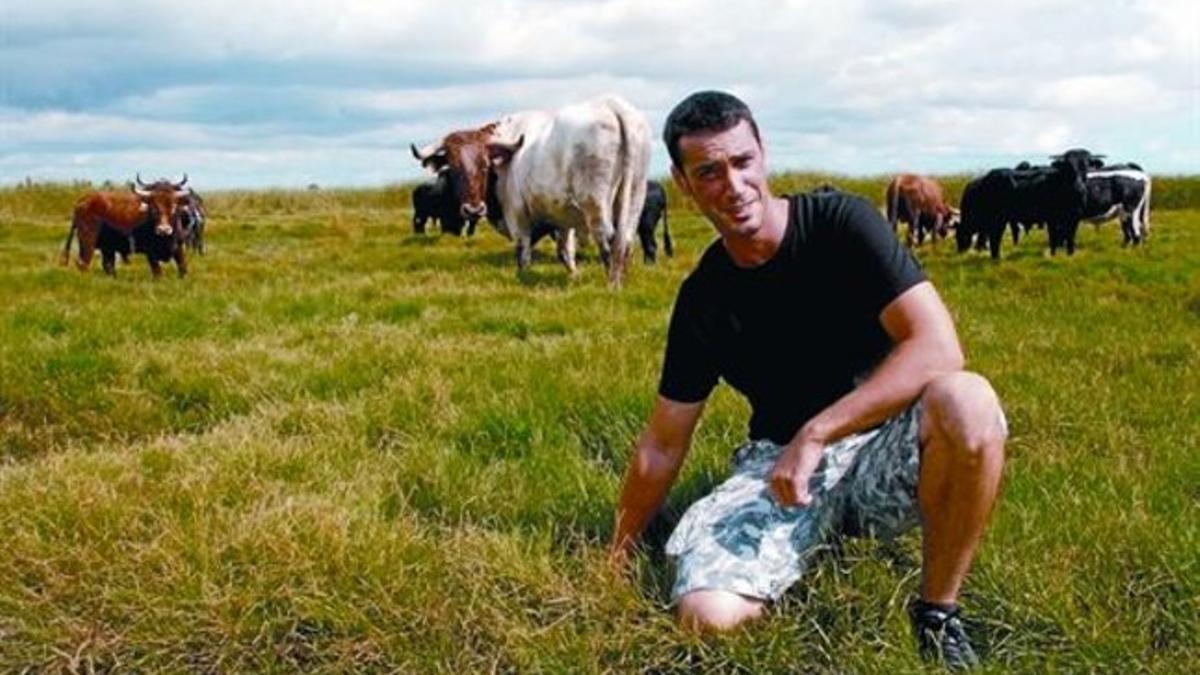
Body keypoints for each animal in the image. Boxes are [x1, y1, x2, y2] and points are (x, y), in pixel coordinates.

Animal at [62, 176, 194, 278]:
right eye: (153, 207)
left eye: (174, 206)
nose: (163, 230)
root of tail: (83, 200)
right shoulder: (151, 253)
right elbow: (158, 273)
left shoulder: (179, 249)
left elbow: (183, 269)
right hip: (88, 242)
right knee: (84, 263)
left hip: (106, 247)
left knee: (107, 265)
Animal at [415, 94, 657, 283]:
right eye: (454, 168)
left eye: (484, 164)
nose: (473, 210)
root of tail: (611, 105)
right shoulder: (562, 218)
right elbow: (565, 252)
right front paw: (574, 276)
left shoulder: (517, 215)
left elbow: (523, 253)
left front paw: (524, 277)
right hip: (635, 196)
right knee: (626, 242)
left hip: (595, 206)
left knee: (609, 242)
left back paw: (612, 285)